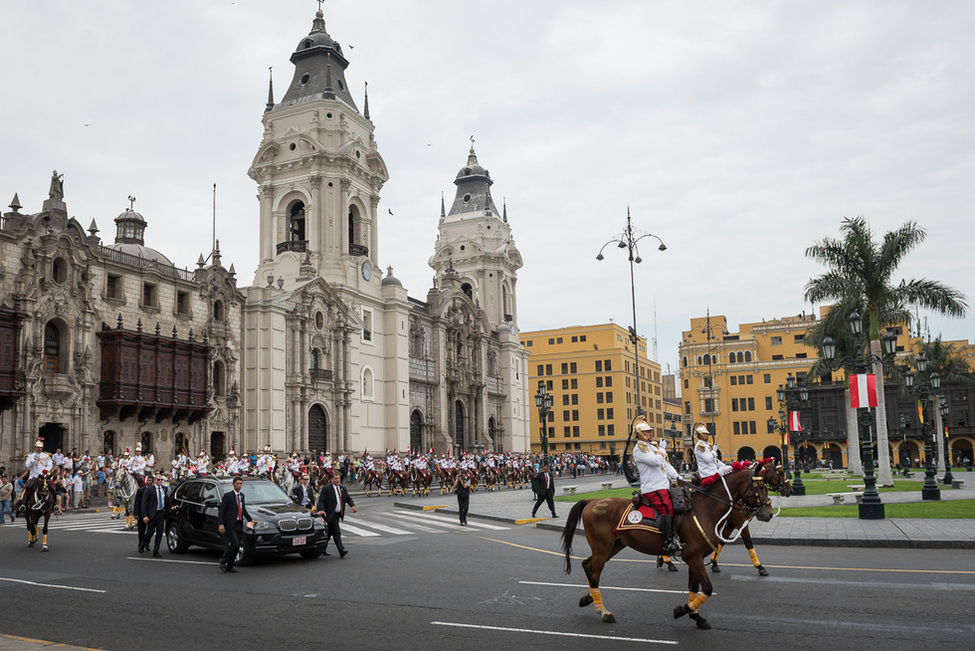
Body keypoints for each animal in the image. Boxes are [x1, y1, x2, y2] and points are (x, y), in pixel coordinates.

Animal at [560, 466, 772, 628]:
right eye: (761, 486)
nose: (768, 513)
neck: (704, 510)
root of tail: (593, 501)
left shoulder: (694, 558)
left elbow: (693, 588)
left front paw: (695, 615)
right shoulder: (693, 557)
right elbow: (707, 589)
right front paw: (682, 611)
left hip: (613, 547)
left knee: (588, 566)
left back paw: (589, 599)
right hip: (602, 548)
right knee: (595, 573)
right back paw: (603, 611)